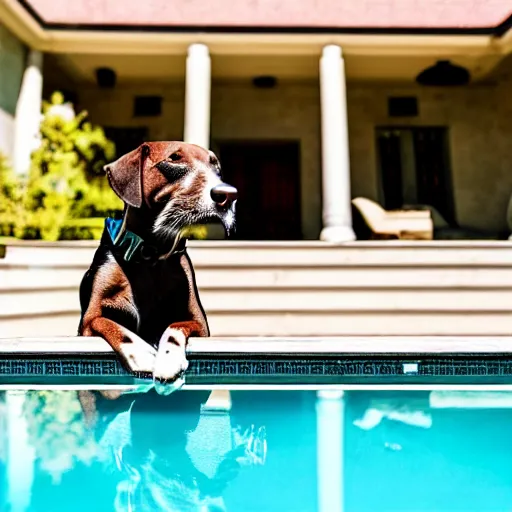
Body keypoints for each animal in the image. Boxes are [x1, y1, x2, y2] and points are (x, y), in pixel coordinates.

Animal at [77, 143, 237, 404]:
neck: (149, 255)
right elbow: (109, 323)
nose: (228, 194)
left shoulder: (200, 324)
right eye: (174, 159)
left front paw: (168, 359)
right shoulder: (89, 320)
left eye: (216, 166)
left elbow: (175, 326)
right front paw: (141, 352)